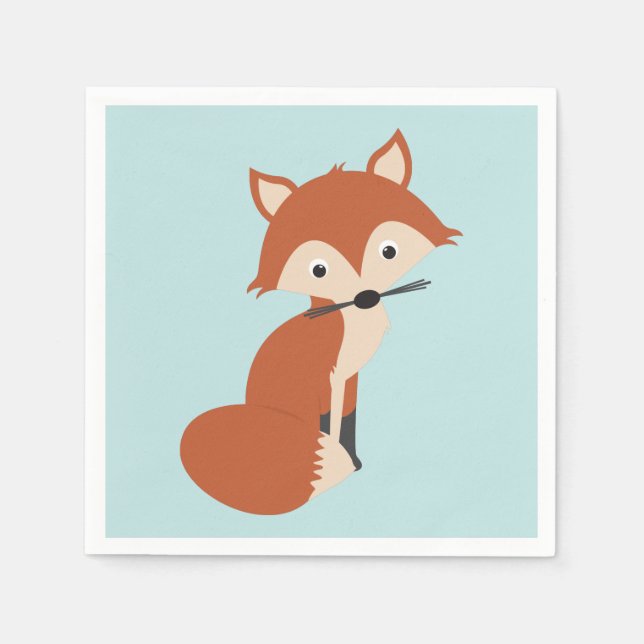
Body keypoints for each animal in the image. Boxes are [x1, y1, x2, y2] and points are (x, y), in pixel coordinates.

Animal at [180, 129, 461, 515]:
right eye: (318, 270)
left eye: (389, 251)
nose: (366, 296)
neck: (346, 322)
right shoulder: (325, 378)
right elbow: (330, 424)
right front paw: (345, 463)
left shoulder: (350, 376)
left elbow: (349, 420)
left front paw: (354, 461)